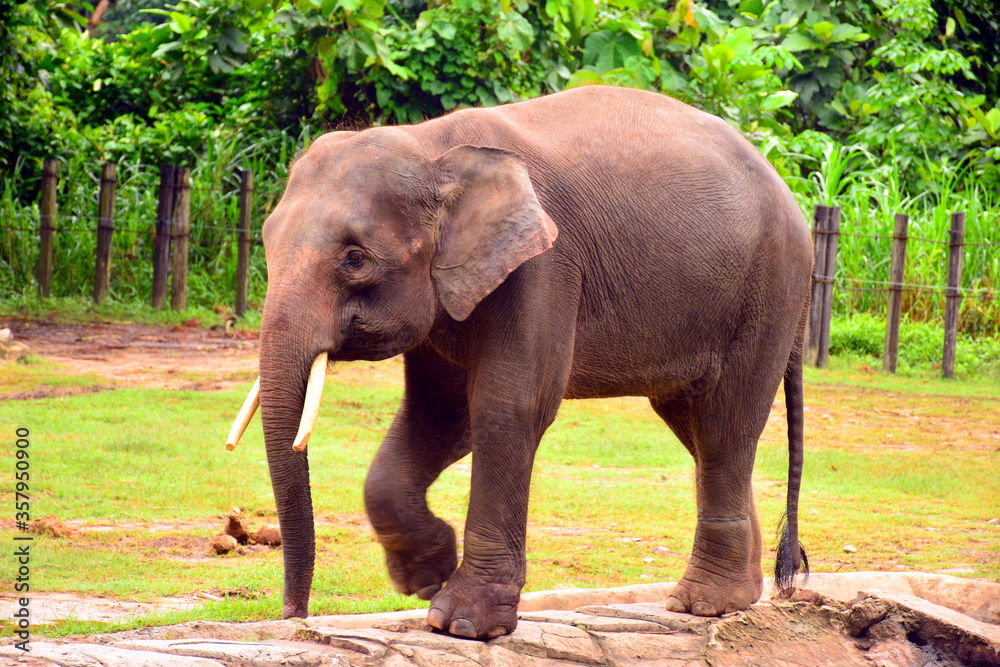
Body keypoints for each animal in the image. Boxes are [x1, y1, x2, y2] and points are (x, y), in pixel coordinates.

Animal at [225, 85, 812, 640]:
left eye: (354, 258)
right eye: (266, 242)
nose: (295, 616)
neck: (434, 147)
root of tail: (787, 188)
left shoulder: (544, 266)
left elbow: (507, 408)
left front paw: (461, 624)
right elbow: (439, 414)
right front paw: (426, 576)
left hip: (766, 293)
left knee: (724, 422)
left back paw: (705, 604)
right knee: (696, 426)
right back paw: (737, 596)